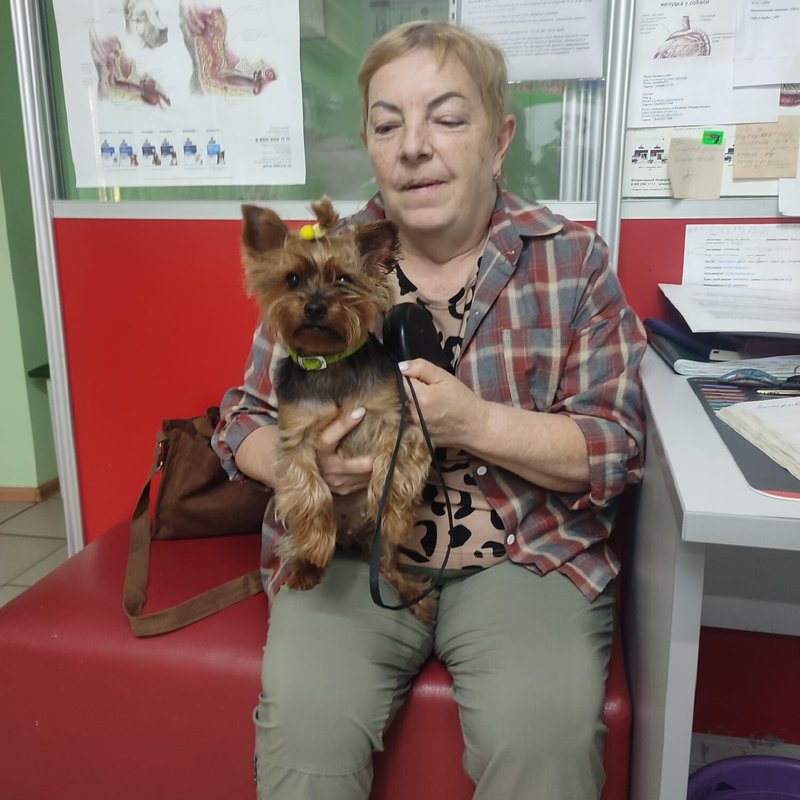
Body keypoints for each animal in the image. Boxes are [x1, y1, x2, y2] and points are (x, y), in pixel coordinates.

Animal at [240, 198, 435, 621]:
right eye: (292, 279)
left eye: (344, 279)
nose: (315, 307)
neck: (330, 363)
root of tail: (352, 538)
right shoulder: (294, 438)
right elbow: (308, 487)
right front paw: (317, 542)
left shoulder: (396, 420)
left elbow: (392, 469)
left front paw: (393, 514)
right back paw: (306, 567)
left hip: (378, 543)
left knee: (386, 562)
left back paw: (412, 591)